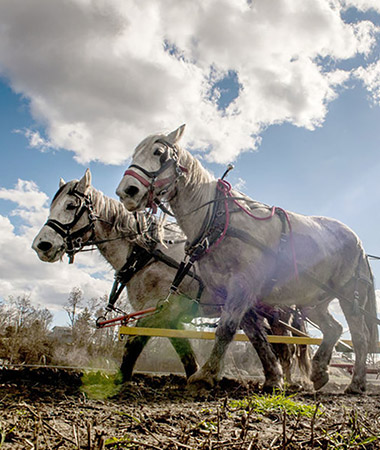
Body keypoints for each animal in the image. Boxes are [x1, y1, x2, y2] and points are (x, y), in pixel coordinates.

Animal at [32, 171, 308, 384]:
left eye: (71, 206)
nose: (41, 245)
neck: (144, 254)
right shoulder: (169, 315)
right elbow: (184, 351)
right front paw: (193, 376)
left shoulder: (162, 309)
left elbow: (134, 343)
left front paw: (120, 379)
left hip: (277, 311)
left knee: (286, 347)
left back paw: (292, 381)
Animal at [117, 124, 378, 394]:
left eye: (158, 152)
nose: (126, 191)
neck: (218, 218)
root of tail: (358, 242)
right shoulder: (235, 292)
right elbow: (256, 336)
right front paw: (273, 378)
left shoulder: (242, 283)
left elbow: (226, 329)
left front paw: (205, 376)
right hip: (313, 301)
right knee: (333, 328)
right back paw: (319, 372)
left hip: (349, 295)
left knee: (360, 337)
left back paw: (357, 383)